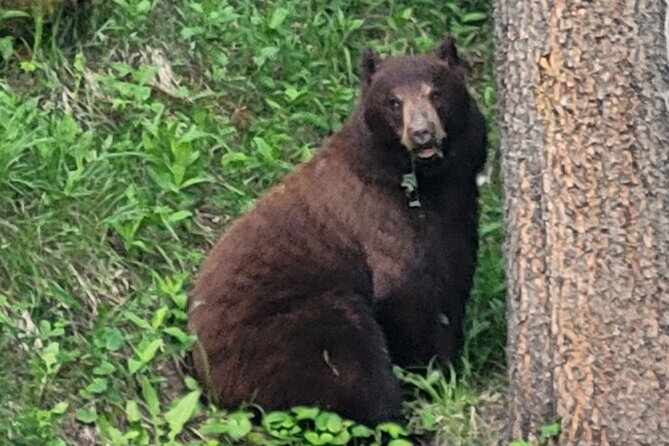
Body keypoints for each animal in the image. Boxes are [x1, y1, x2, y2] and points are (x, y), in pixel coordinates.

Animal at [188, 34, 486, 426]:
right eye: (393, 102)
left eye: (436, 92)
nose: (422, 134)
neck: (429, 186)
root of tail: (212, 386)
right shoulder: (381, 219)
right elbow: (407, 294)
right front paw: (434, 375)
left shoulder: (458, 218)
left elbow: (453, 283)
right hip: (296, 331)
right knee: (353, 372)